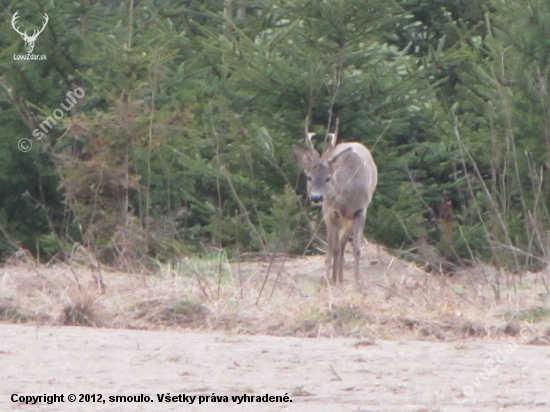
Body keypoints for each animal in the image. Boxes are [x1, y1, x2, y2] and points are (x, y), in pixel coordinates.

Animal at [294, 117, 380, 282]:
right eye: (309, 177)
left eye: (328, 178)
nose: (316, 197)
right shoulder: (331, 211)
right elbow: (333, 247)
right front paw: (331, 279)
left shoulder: (361, 210)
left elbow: (356, 248)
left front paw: (357, 281)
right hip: (328, 211)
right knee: (332, 244)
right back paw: (331, 276)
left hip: (347, 219)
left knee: (341, 243)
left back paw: (340, 276)